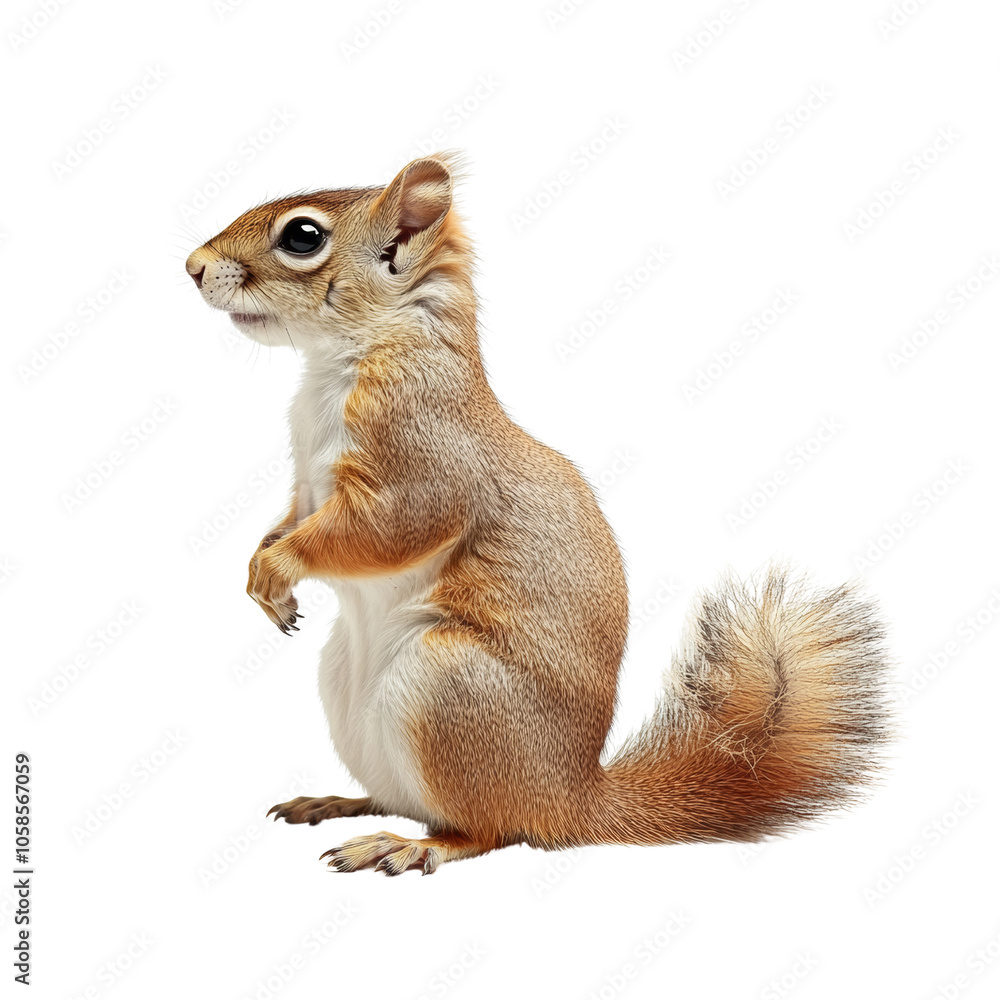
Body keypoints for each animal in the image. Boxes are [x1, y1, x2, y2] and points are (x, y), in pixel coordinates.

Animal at [185, 154, 891, 876]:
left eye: (303, 237)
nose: (192, 266)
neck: (347, 362)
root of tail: (570, 798)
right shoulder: (306, 481)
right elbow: (289, 517)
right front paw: (262, 574)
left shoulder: (423, 458)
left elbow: (389, 528)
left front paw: (279, 566)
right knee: (408, 798)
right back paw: (341, 803)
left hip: (451, 688)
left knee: (489, 828)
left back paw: (410, 845)